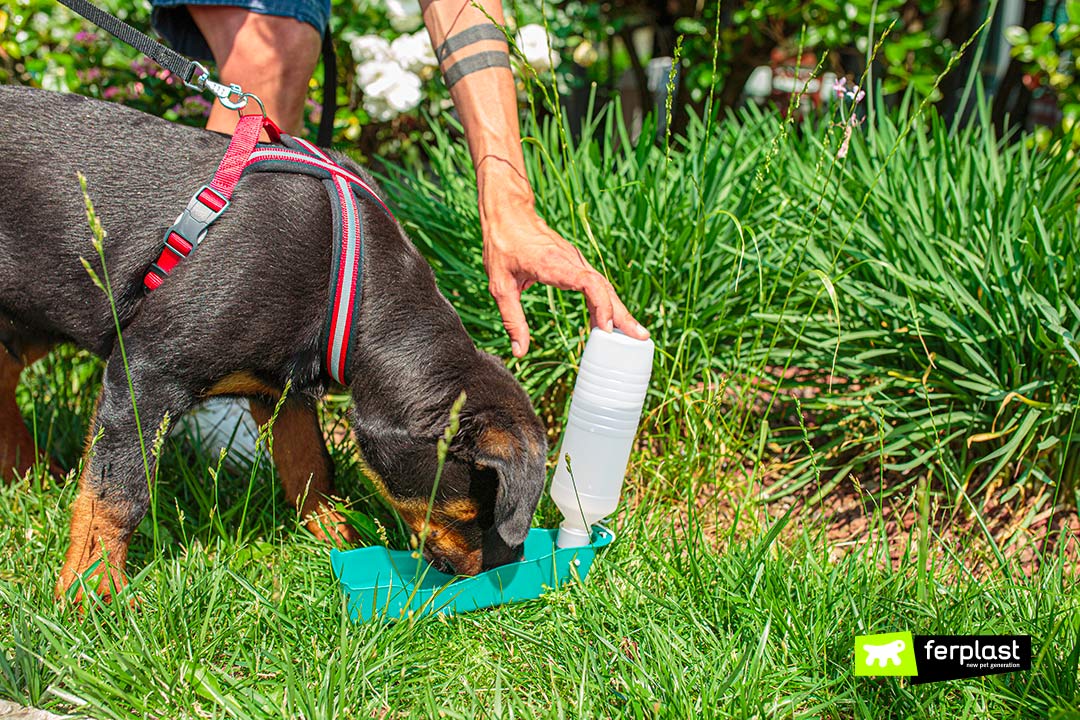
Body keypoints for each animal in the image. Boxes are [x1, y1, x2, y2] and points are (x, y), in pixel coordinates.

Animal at [0, 84, 548, 600]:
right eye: (481, 509)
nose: (502, 574)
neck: (350, 286)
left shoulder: (282, 387)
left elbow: (310, 466)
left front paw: (337, 538)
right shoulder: (146, 373)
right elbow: (117, 493)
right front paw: (92, 591)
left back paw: (30, 473)